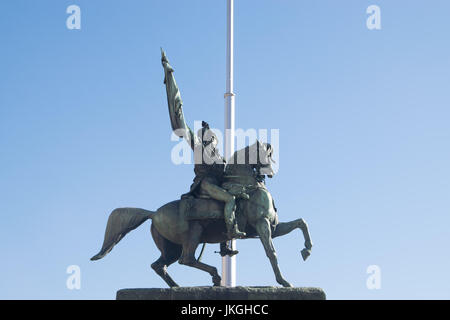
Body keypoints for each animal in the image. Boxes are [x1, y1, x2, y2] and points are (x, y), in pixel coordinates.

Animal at [89, 141, 312, 288]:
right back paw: (214, 276)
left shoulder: (273, 227)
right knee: (186, 259)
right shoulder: (262, 224)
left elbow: (301, 223)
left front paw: (307, 250)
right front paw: (284, 281)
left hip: (171, 248)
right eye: (268, 154)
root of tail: (153, 213)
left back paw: (177, 286)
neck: (249, 185)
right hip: (193, 234)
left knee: (160, 265)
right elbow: (272, 252)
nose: (271, 172)